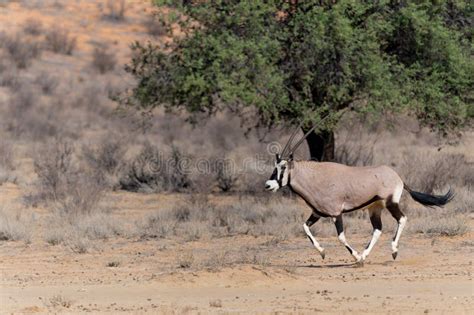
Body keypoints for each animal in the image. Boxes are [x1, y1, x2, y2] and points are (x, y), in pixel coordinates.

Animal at [264, 123, 454, 264]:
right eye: (275, 166)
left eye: (283, 167)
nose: (268, 185)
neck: (314, 177)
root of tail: (397, 176)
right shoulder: (317, 213)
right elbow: (305, 227)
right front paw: (323, 252)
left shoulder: (336, 214)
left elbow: (341, 237)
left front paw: (356, 258)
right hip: (374, 208)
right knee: (377, 229)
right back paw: (366, 254)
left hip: (391, 203)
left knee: (402, 218)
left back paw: (393, 251)